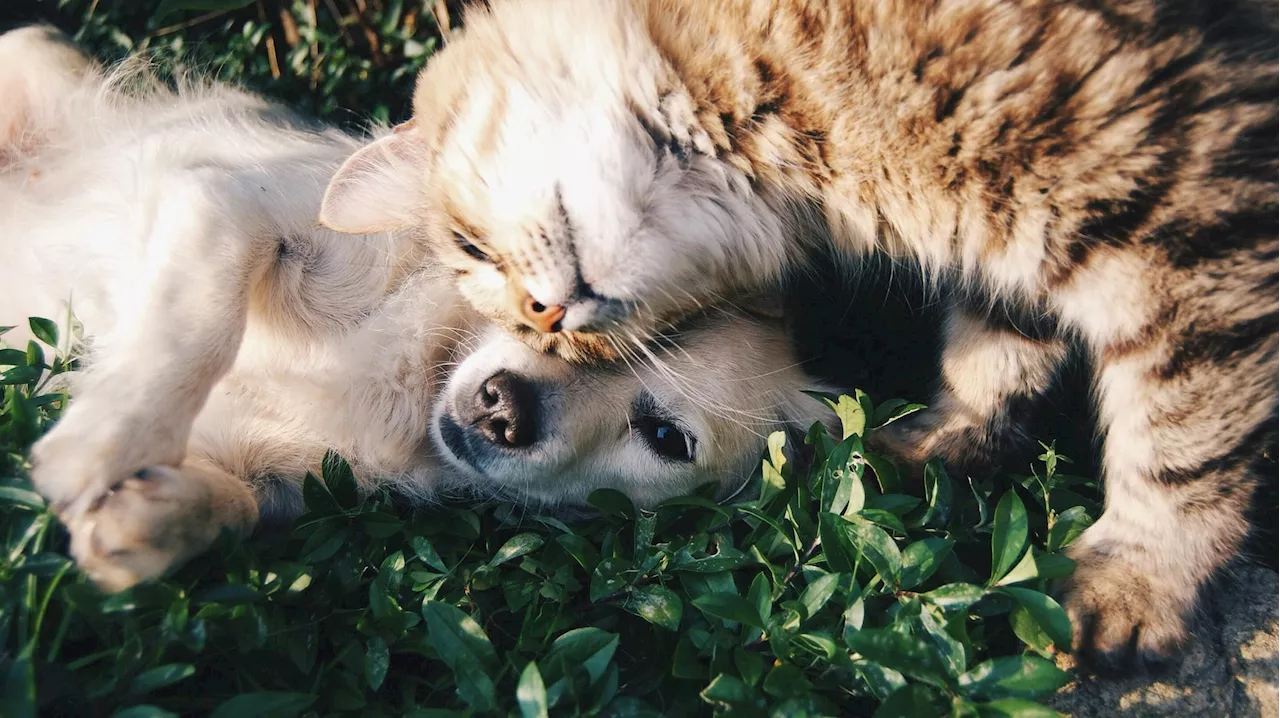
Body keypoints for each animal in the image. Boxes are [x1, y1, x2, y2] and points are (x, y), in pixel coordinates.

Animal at [2, 25, 839, 591]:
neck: (416, 378)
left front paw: (147, 521)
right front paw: (102, 444)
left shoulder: (275, 478)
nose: (505, 409)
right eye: (543, 307)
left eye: (665, 437)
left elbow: (234, 507)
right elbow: (195, 329)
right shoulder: (229, 205)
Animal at [317, 1, 1280, 670]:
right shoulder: (1020, 240)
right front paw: (944, 444)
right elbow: (995, 350)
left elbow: (1182, 439)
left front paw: (1139, 579)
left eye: (472, 249)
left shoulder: (1187, 216)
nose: (547, 321)